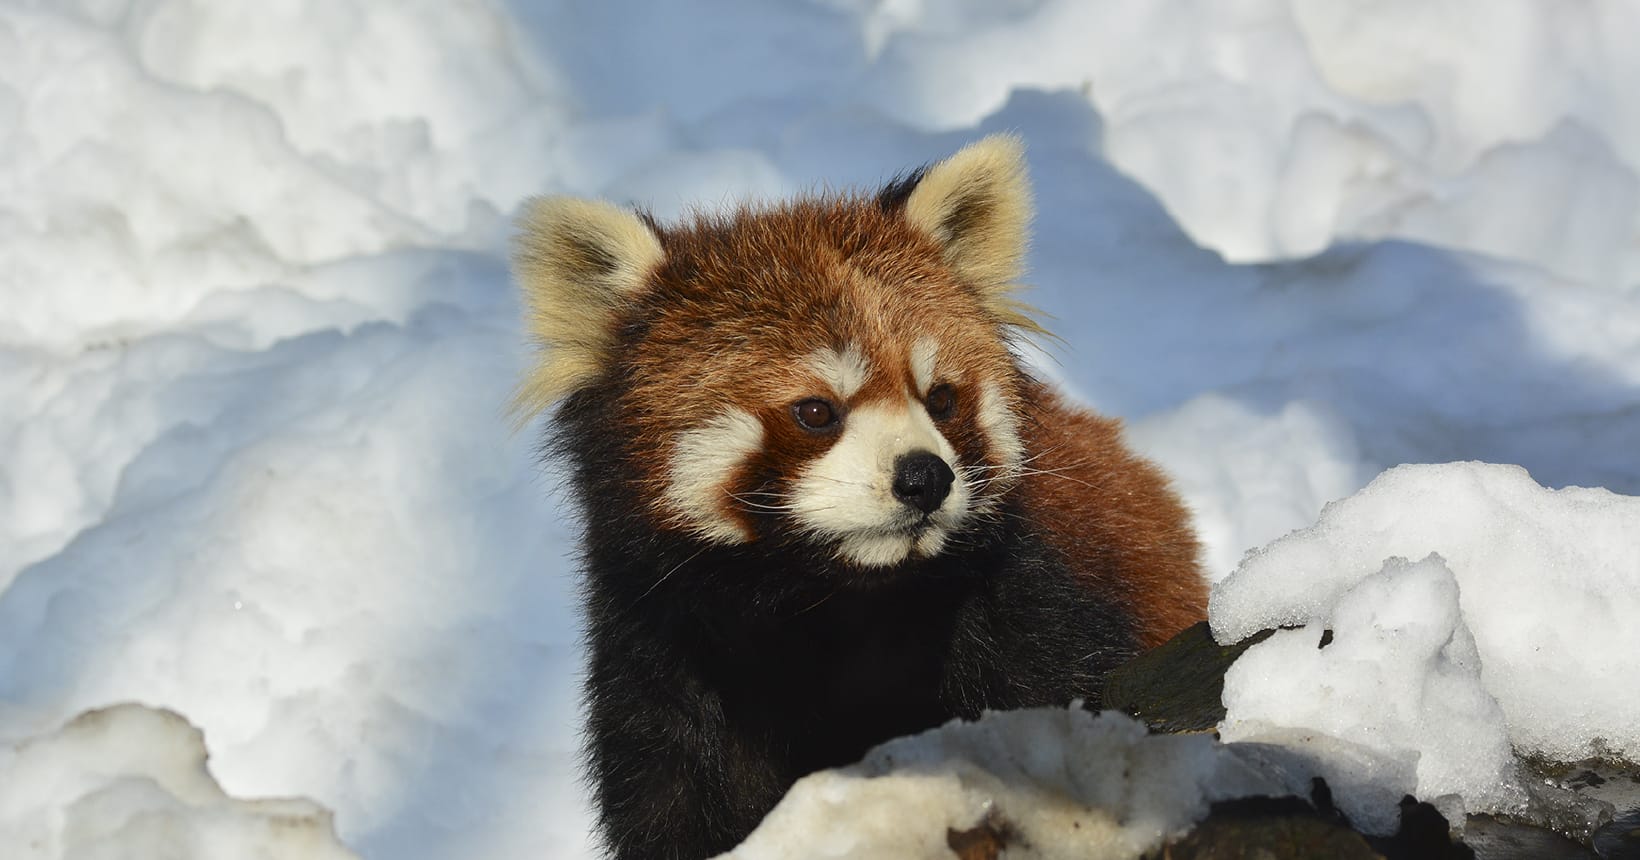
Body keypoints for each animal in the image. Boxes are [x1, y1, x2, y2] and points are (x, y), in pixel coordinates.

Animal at [508, 136, 1207, 860]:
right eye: (817, 411)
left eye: (940, 399)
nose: (925, 478)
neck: (834, 601)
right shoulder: (658, 659)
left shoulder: (1039, 618)